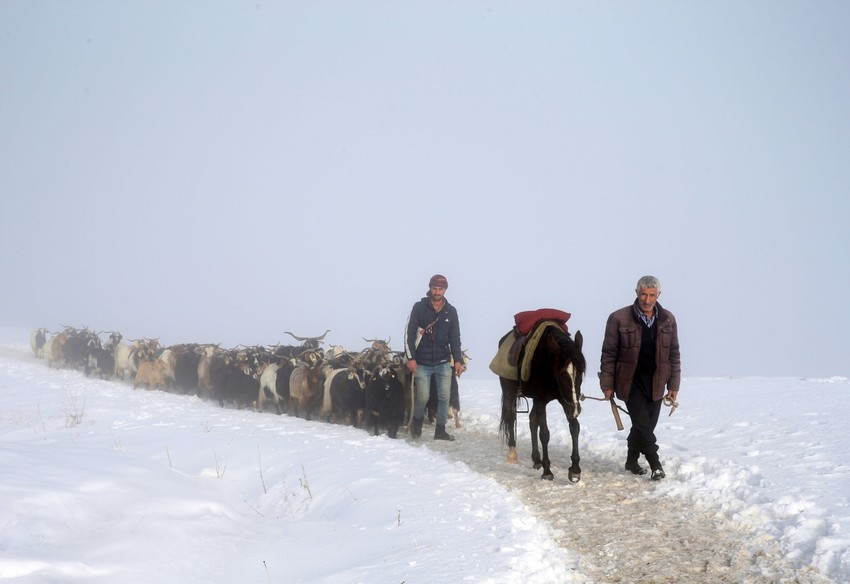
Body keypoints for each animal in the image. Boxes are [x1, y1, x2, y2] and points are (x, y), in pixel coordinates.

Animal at [496, 326, 584, 482]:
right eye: (562, 374)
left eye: (580, 372)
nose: (576, 410)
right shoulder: (541, 400)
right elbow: (544, 434)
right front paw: (547, 471)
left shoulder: (564, 400)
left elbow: (574, 428)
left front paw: (575, 469)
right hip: (509, 393)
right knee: (511, 418)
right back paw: (512, 453)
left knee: (532, 420)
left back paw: (537, 459)